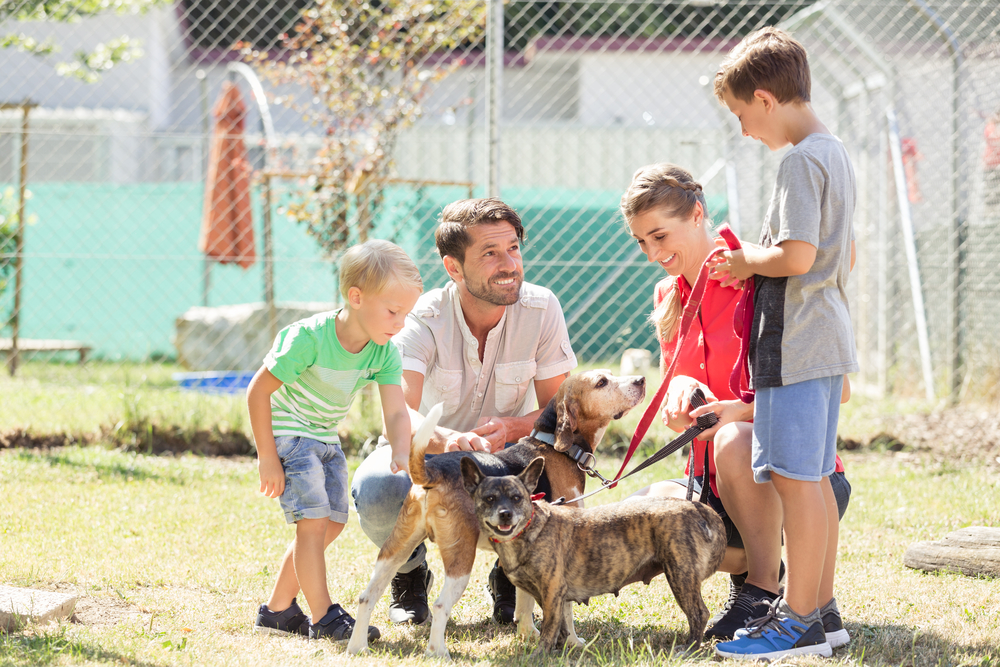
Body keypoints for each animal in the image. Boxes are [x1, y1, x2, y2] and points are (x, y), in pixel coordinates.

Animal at [346, 374, 648, 660]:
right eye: (602, 382)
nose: (641, 380)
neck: (554, 445)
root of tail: (434, 471)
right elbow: (567, 610)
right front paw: (573, 642)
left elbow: (525, 605)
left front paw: (528, 636)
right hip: (460, 557)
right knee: (441, 605)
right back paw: (438, 652)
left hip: (396, 548)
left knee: (366, 597)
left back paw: (358, 648)